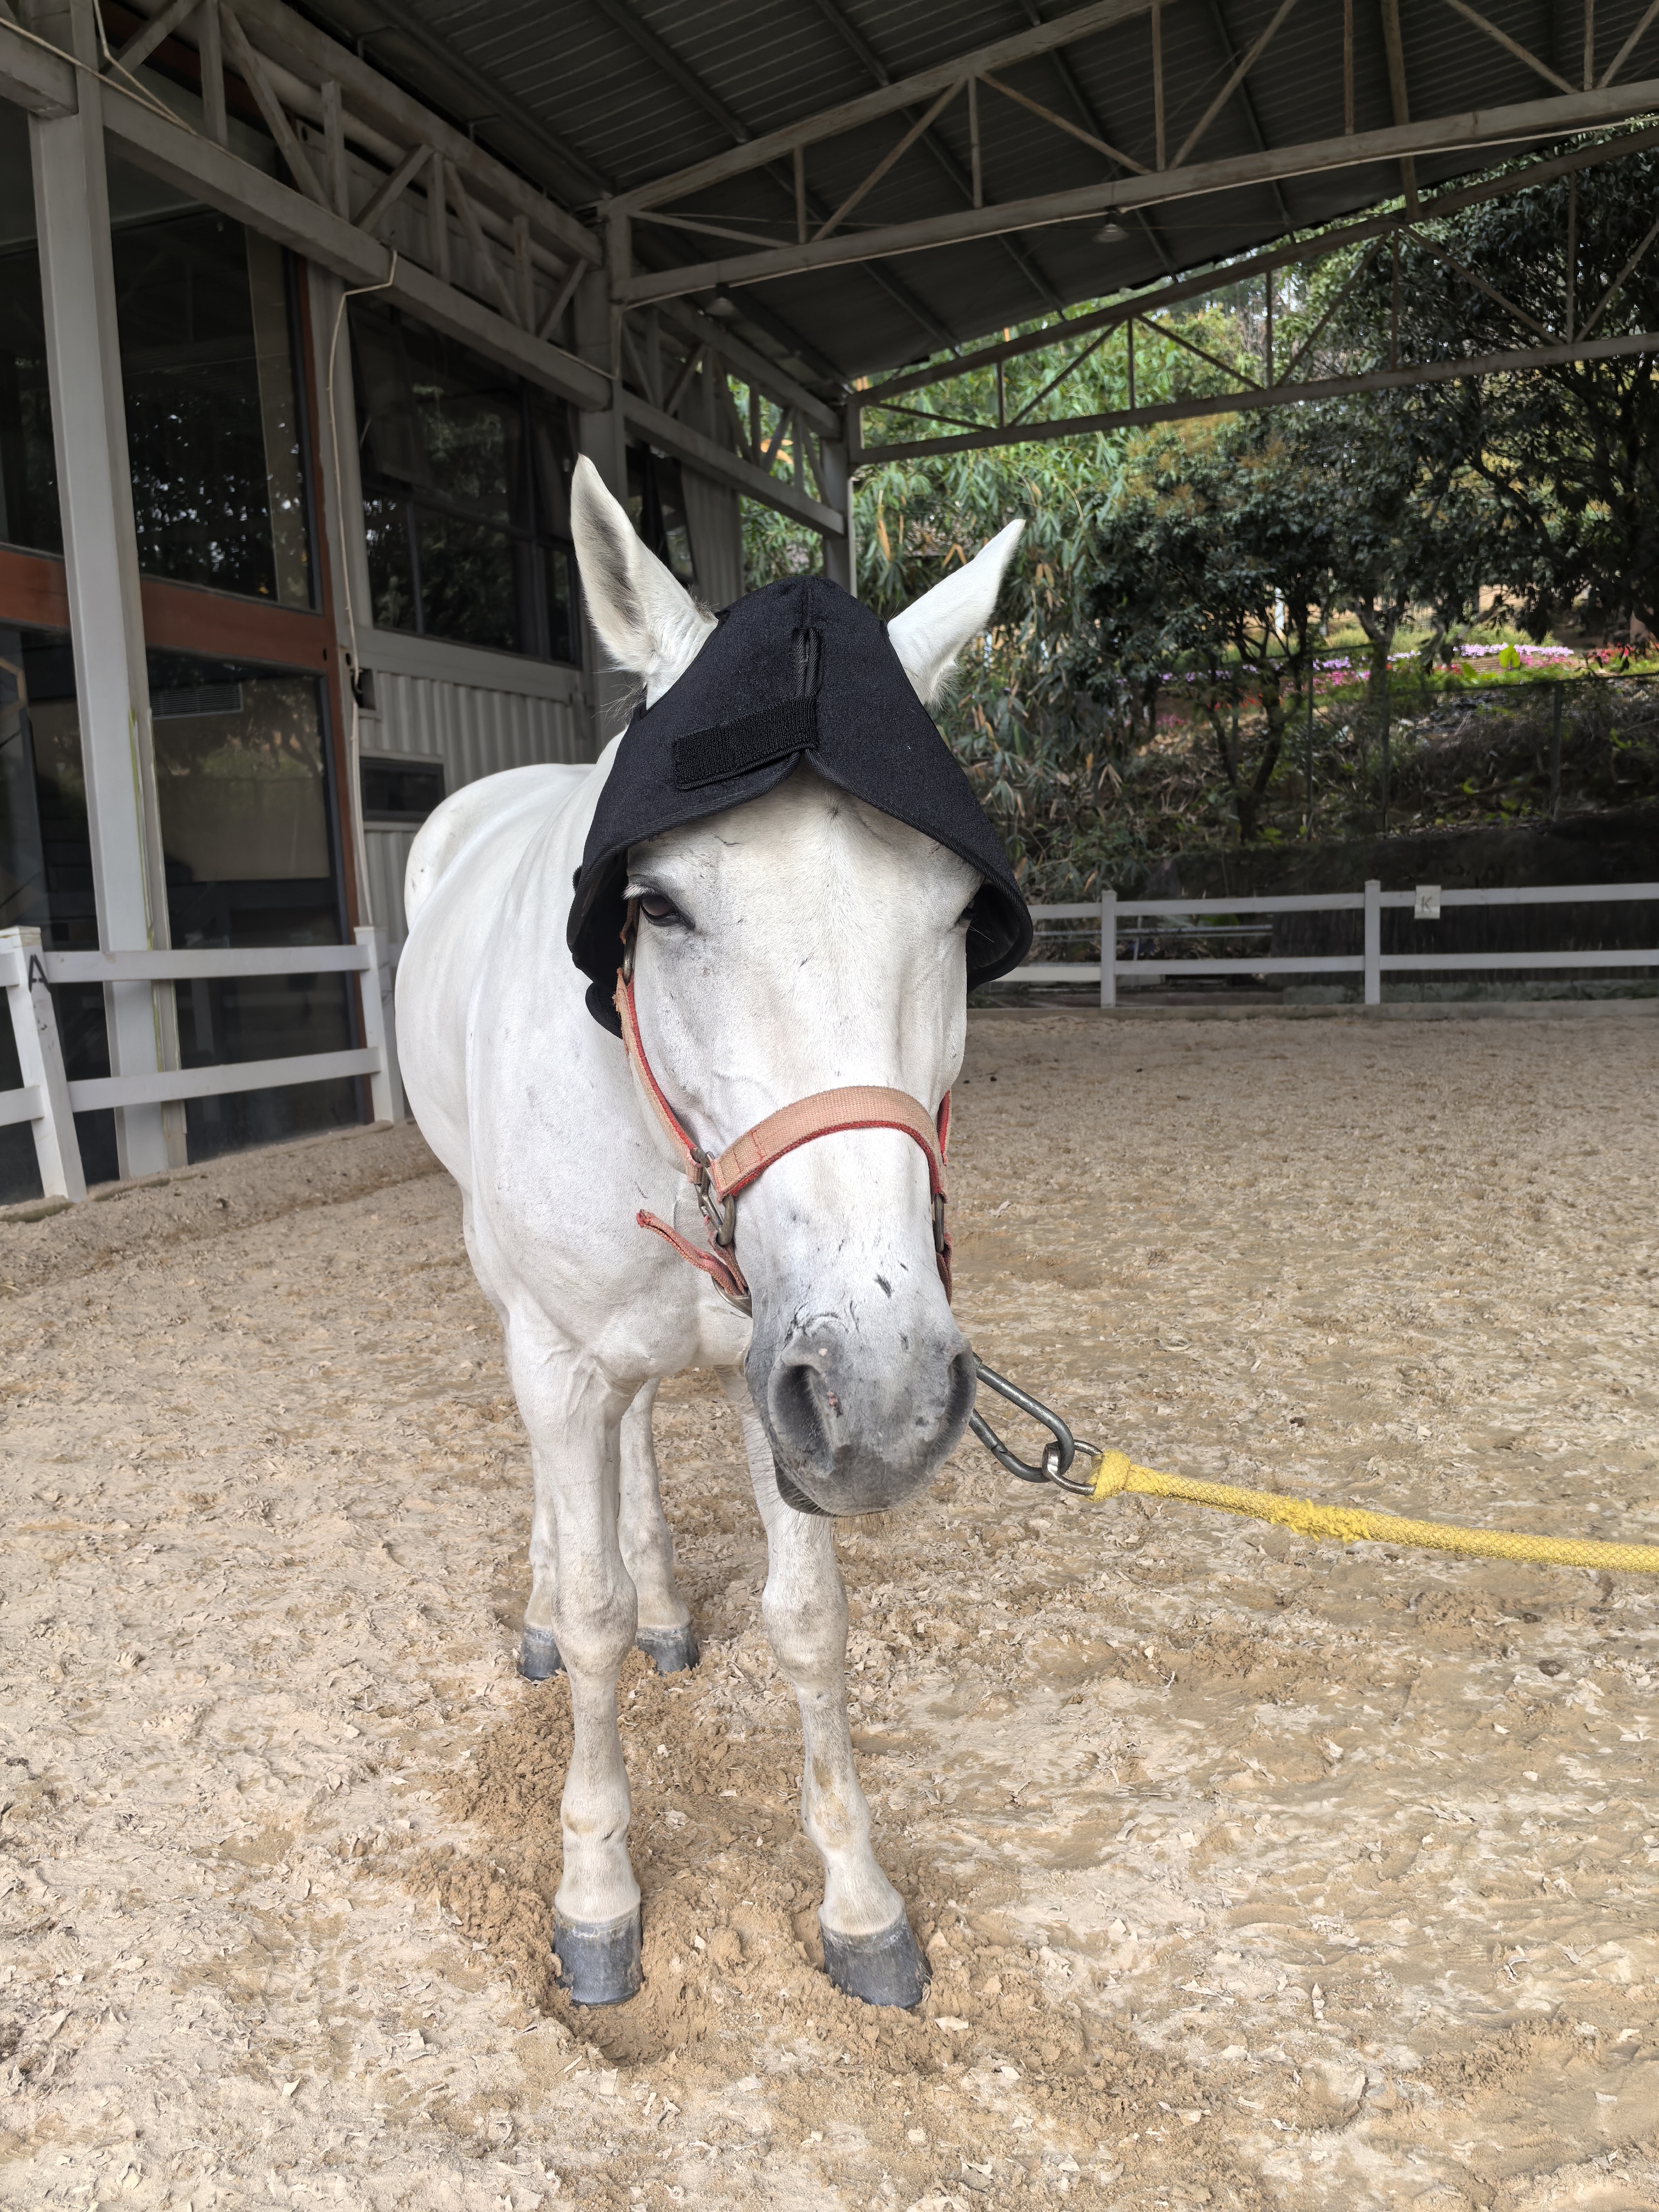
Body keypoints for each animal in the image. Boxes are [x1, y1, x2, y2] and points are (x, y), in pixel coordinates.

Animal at [396, 456, 1026, 2009]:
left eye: (956, 913)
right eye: (659, 904)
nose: (895, 1395)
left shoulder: (784, 1370)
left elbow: (809, 1624)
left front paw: (860, 1905)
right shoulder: (569, 1354)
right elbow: (597, 1621)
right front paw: (595, 1895)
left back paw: (674, 1603)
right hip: (516, 1296)